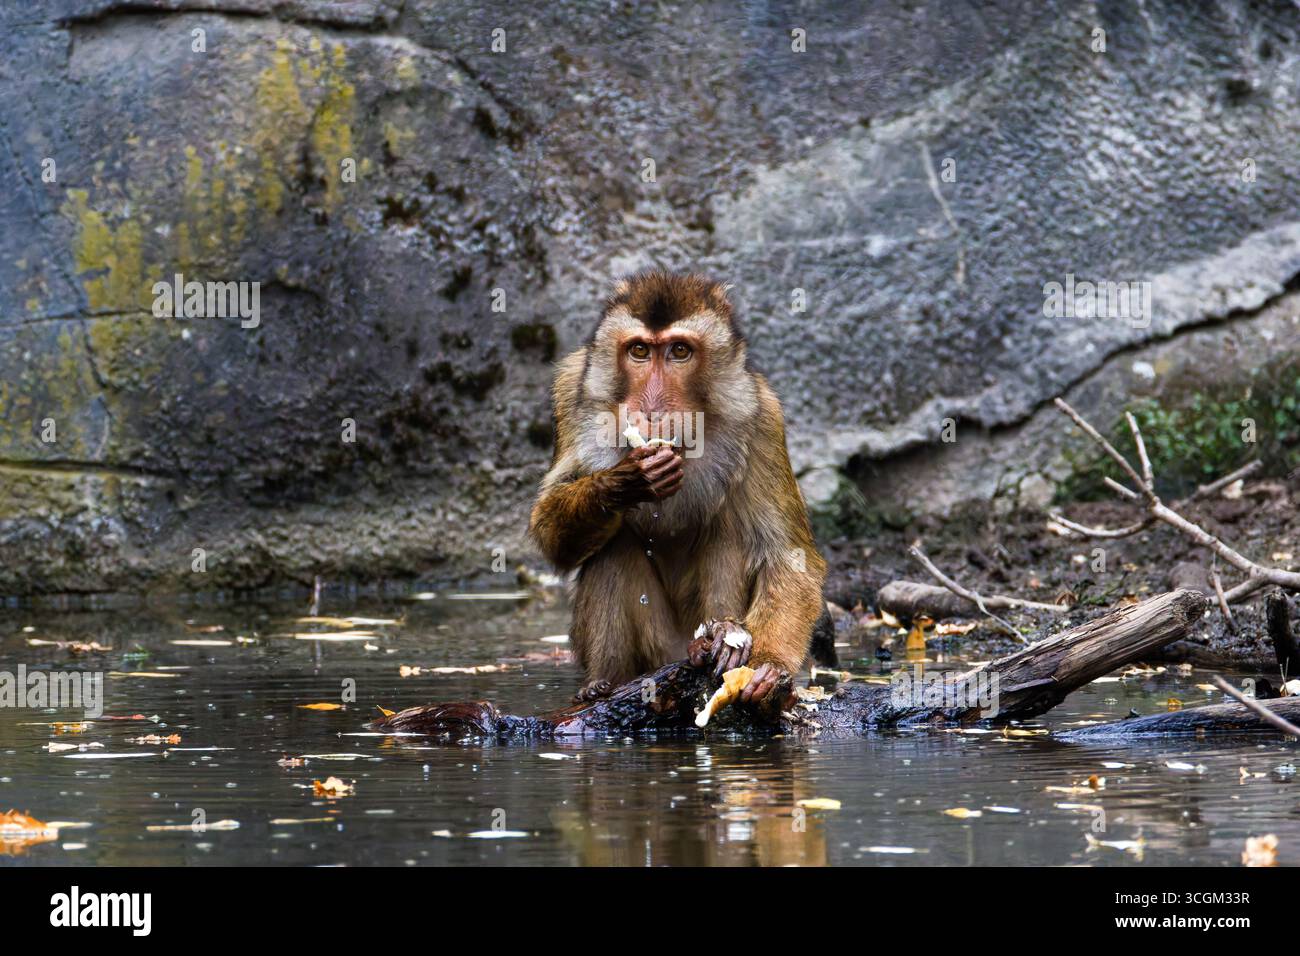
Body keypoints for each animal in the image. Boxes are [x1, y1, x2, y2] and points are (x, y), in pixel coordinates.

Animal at [528, 270, 835, 710]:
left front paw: (768, 666)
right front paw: (624, 481)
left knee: (729, 529)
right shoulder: (571, 391)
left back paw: (720, 639)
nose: (653, 411)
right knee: (612, 549)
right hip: (656, 648)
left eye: (679, 352)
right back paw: (602, 683)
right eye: (639, 351)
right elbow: (549, 532)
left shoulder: (762, 415)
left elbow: (788, 556)